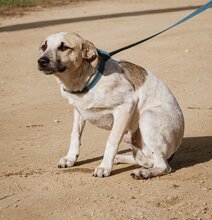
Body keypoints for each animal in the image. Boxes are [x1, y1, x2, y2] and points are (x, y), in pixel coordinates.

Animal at [37, 31, 184, 179]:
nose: (41, 61)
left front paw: (105, 167)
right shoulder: (79, 111)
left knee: (162, 166)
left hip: (146, 118)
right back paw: (122, 158)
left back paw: (144, 172)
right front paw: (70, 158)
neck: (86, 80)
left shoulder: (126, 106)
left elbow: (111, 142)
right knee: (145, 160)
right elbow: (75, 136)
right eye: (44, 46)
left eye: (63, 47)